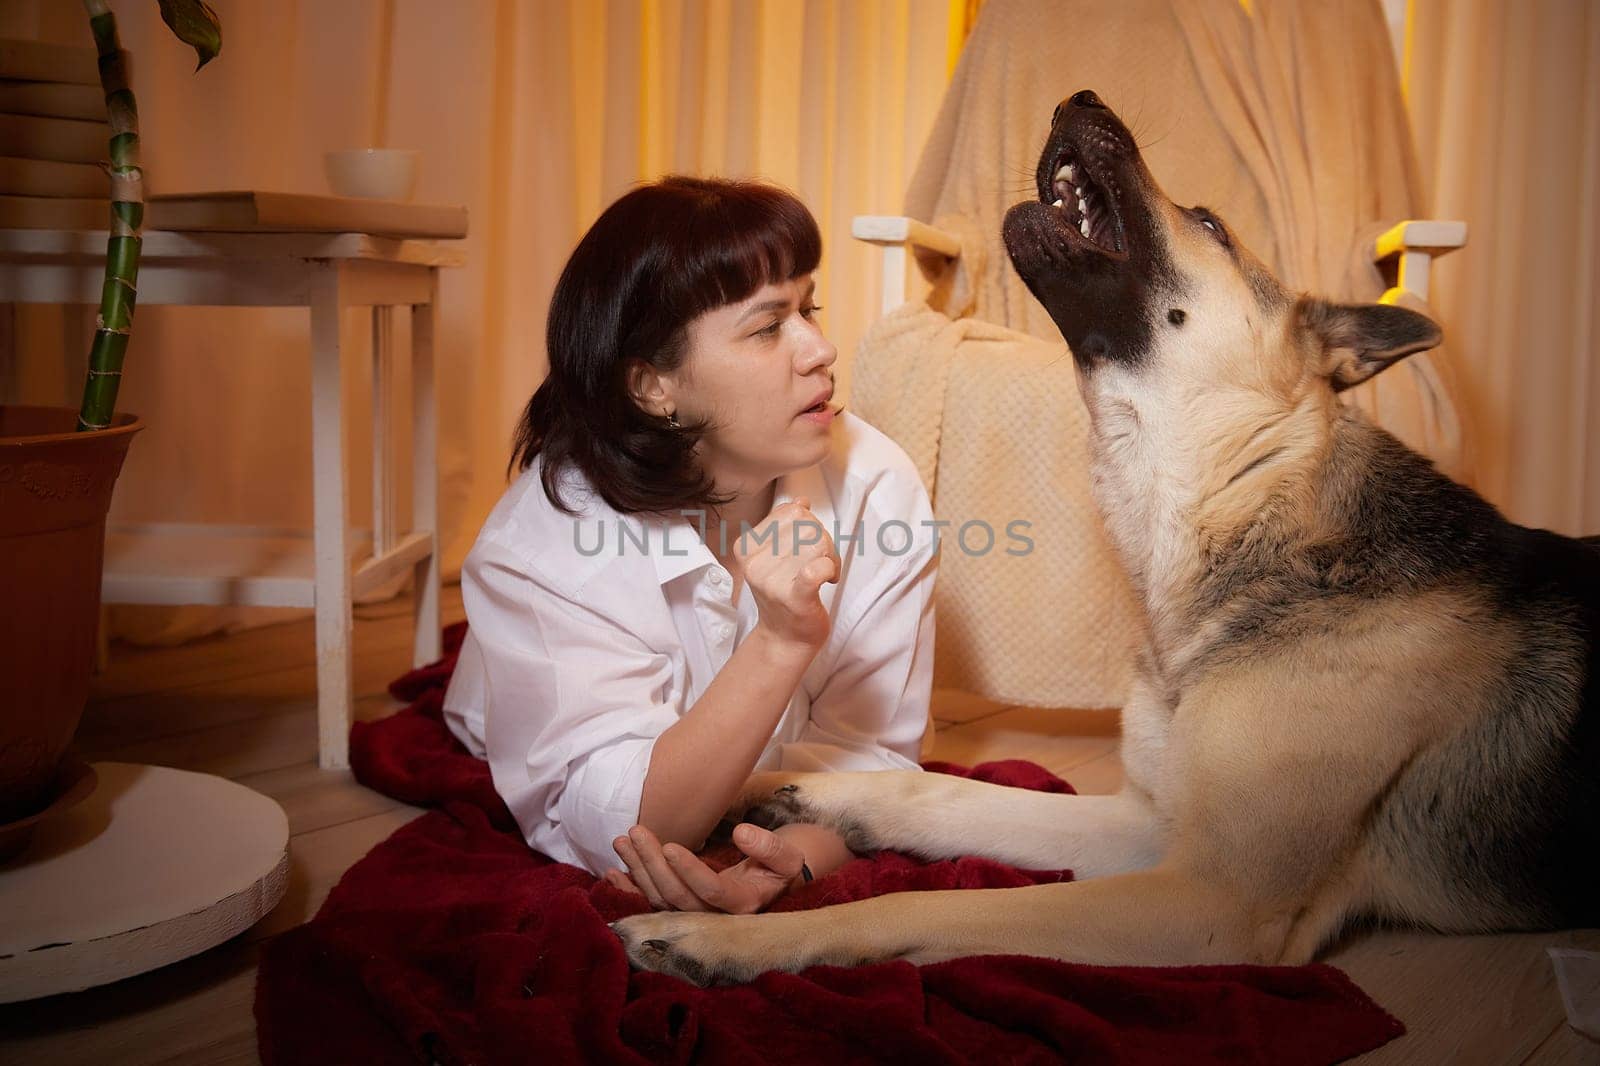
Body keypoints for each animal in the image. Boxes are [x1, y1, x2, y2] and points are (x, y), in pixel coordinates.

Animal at [604, 87, 1593, 985]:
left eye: (1209, 222)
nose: (1076, 97)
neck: (1235, 502)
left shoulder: (1213, 902)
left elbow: (928, 902)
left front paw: (727, 938)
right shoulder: (1145, 824)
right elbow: (937, 789)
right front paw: (788, 785)